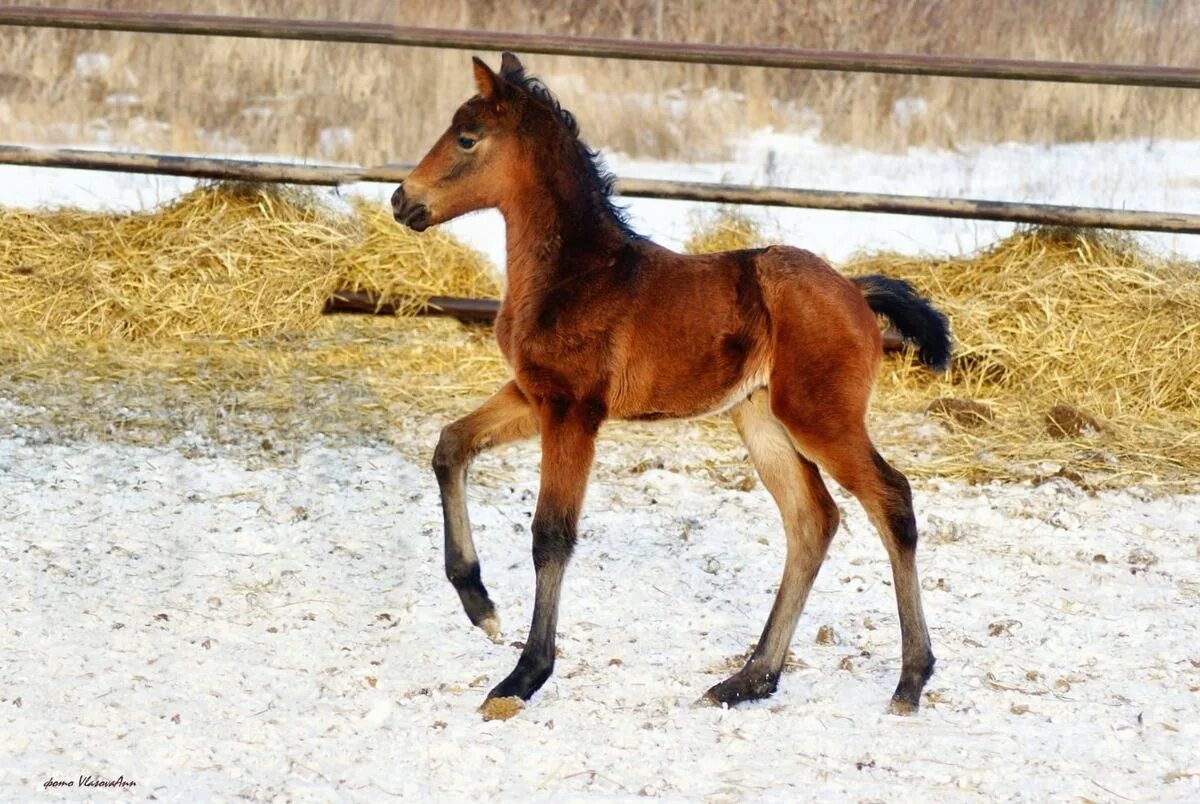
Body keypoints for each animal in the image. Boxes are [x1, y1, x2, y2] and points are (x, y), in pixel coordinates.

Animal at [393, 53, 955, 720]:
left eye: (467, 138)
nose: (401, 200)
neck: (576, 273)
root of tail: (854, 290)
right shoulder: (534, 395)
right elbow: (450, 446)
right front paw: (479, 604)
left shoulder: (573, 410)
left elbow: (551, 534)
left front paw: (523, 675)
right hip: (761, 419)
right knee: (810, 520)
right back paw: (749, 678)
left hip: (819, 416)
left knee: (891, 500)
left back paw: (910, 679)